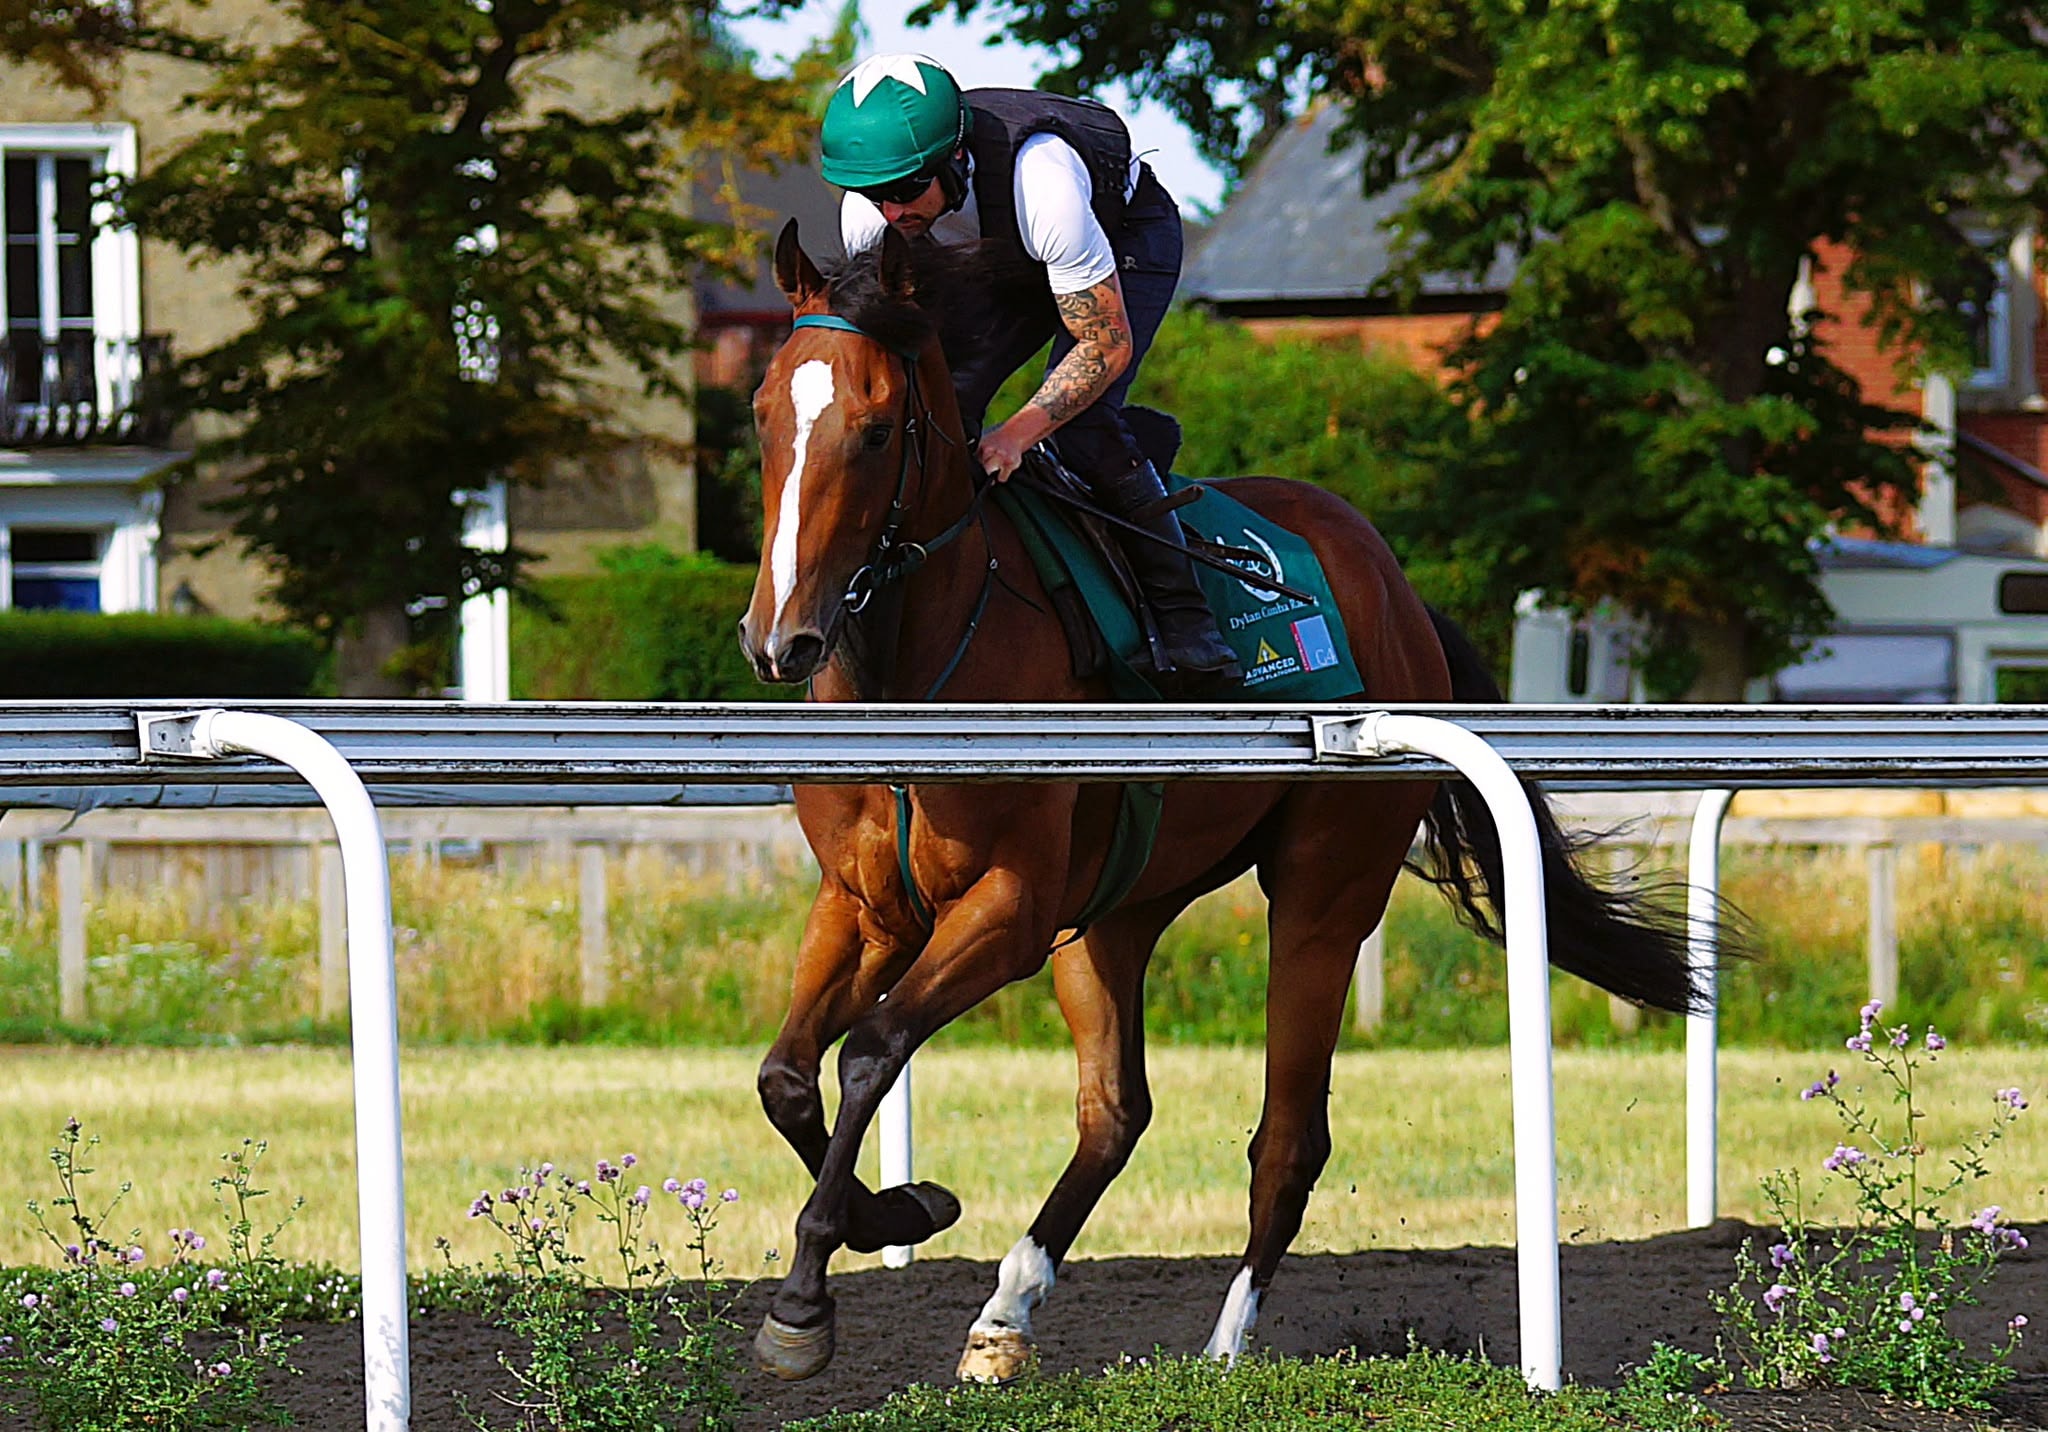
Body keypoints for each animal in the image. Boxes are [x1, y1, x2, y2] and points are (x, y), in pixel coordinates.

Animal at [735, 219, 1702, 1384]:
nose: (780, 639)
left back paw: (1223, 1348)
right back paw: (1005, 1311)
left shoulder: (1009, 908)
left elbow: (872, 1048)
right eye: (762, 413)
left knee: (1288, 1134)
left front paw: (805, 1297)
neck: (911, 669)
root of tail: (1395, 586)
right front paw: (901, 1210)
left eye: (877, 430)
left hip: (1323, 890)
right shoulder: (866, 901)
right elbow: (788, 1075)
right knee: (1114, 1111)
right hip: (1117, 906)